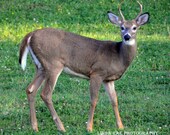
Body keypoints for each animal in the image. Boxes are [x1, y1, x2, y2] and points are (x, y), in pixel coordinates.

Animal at [18, 0, 149, 132]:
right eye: (122, 27)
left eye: (134, 28)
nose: (127, 36)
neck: (118, 56)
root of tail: (30, 35)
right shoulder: (97, 72)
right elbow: (94, 100)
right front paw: (89, 127)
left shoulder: (108, 80)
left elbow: (114, 100)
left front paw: (120, 126)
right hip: (53, 65)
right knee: (45, 94)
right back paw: (61, 127)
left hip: (41, 67)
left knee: (30, 89)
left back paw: (35, 127)